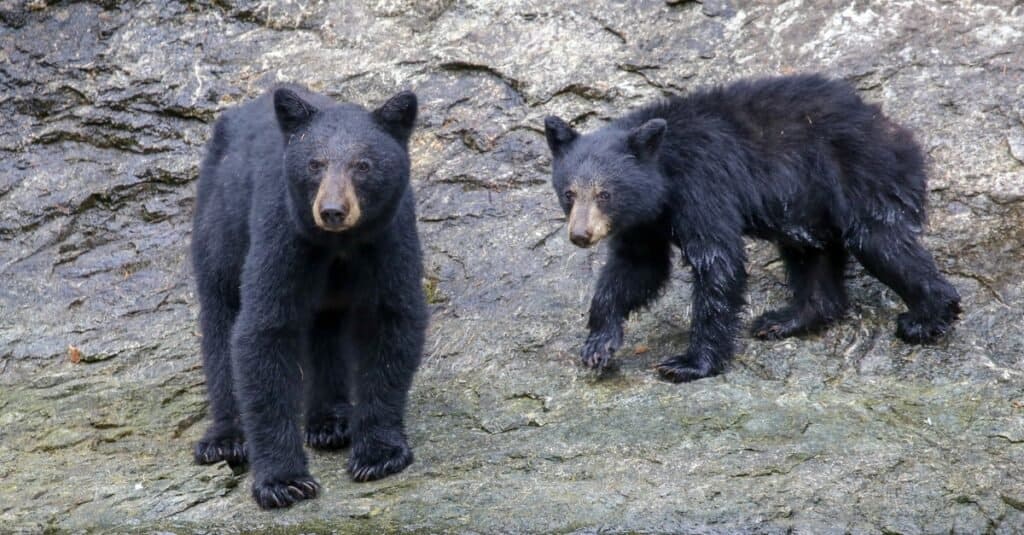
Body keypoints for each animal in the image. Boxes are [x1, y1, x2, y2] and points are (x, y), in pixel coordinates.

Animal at [190, 84, 425, 508]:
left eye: (363, 165)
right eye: (315, 164)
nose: (332, 210)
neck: (339, 244)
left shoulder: (389, 238)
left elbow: (392, 324)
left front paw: (378, 455)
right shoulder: (282, 234)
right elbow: (263, 332)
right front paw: (284, 481)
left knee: (324, 330)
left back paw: (330, 421)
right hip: (220, 222)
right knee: (220, 317)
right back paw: (225, 439)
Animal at [544, 75, 958, 383]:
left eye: (605, 193)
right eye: (569, 193)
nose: (581, 235)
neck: (665, 173)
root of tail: (901, 134)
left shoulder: (703, 183)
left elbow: (717, 261)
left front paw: (688, 363)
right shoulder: (645, 219)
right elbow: (637, 268)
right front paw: (599, 344)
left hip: (861, 177)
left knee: (881, 242)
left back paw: (926, 319)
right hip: (808, 206)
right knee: (812, 255)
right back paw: (787, 319)